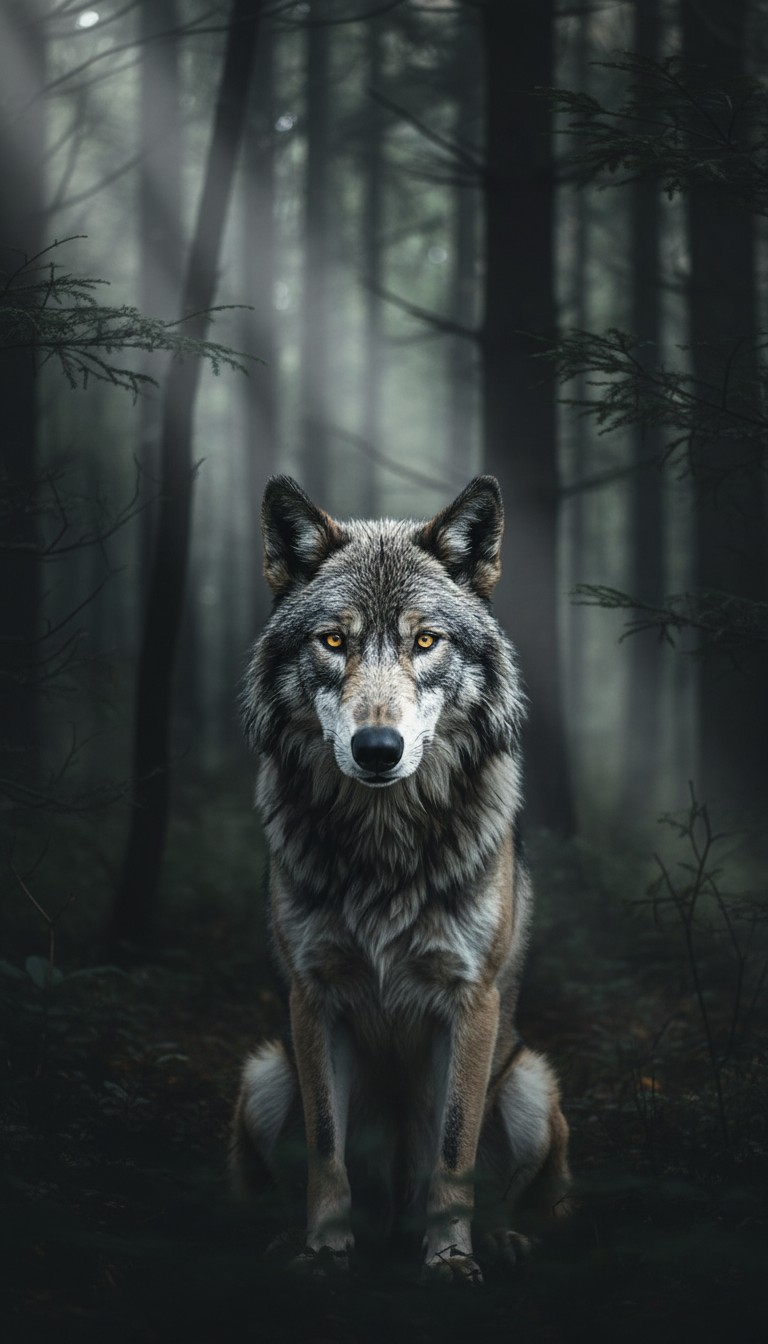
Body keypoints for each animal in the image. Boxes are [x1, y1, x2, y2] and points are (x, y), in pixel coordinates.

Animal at [231, 474, 570, 1283]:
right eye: (333, 641)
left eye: (425, 641)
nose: (377, 748)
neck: (384, 847)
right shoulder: (312, 996)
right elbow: (325, 1146)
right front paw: (324, 1250)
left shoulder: (471, 1001)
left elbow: (453, 1150)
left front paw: (449, 1258)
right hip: (263, 1074)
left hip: (530, 1085)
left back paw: (500, 1239)